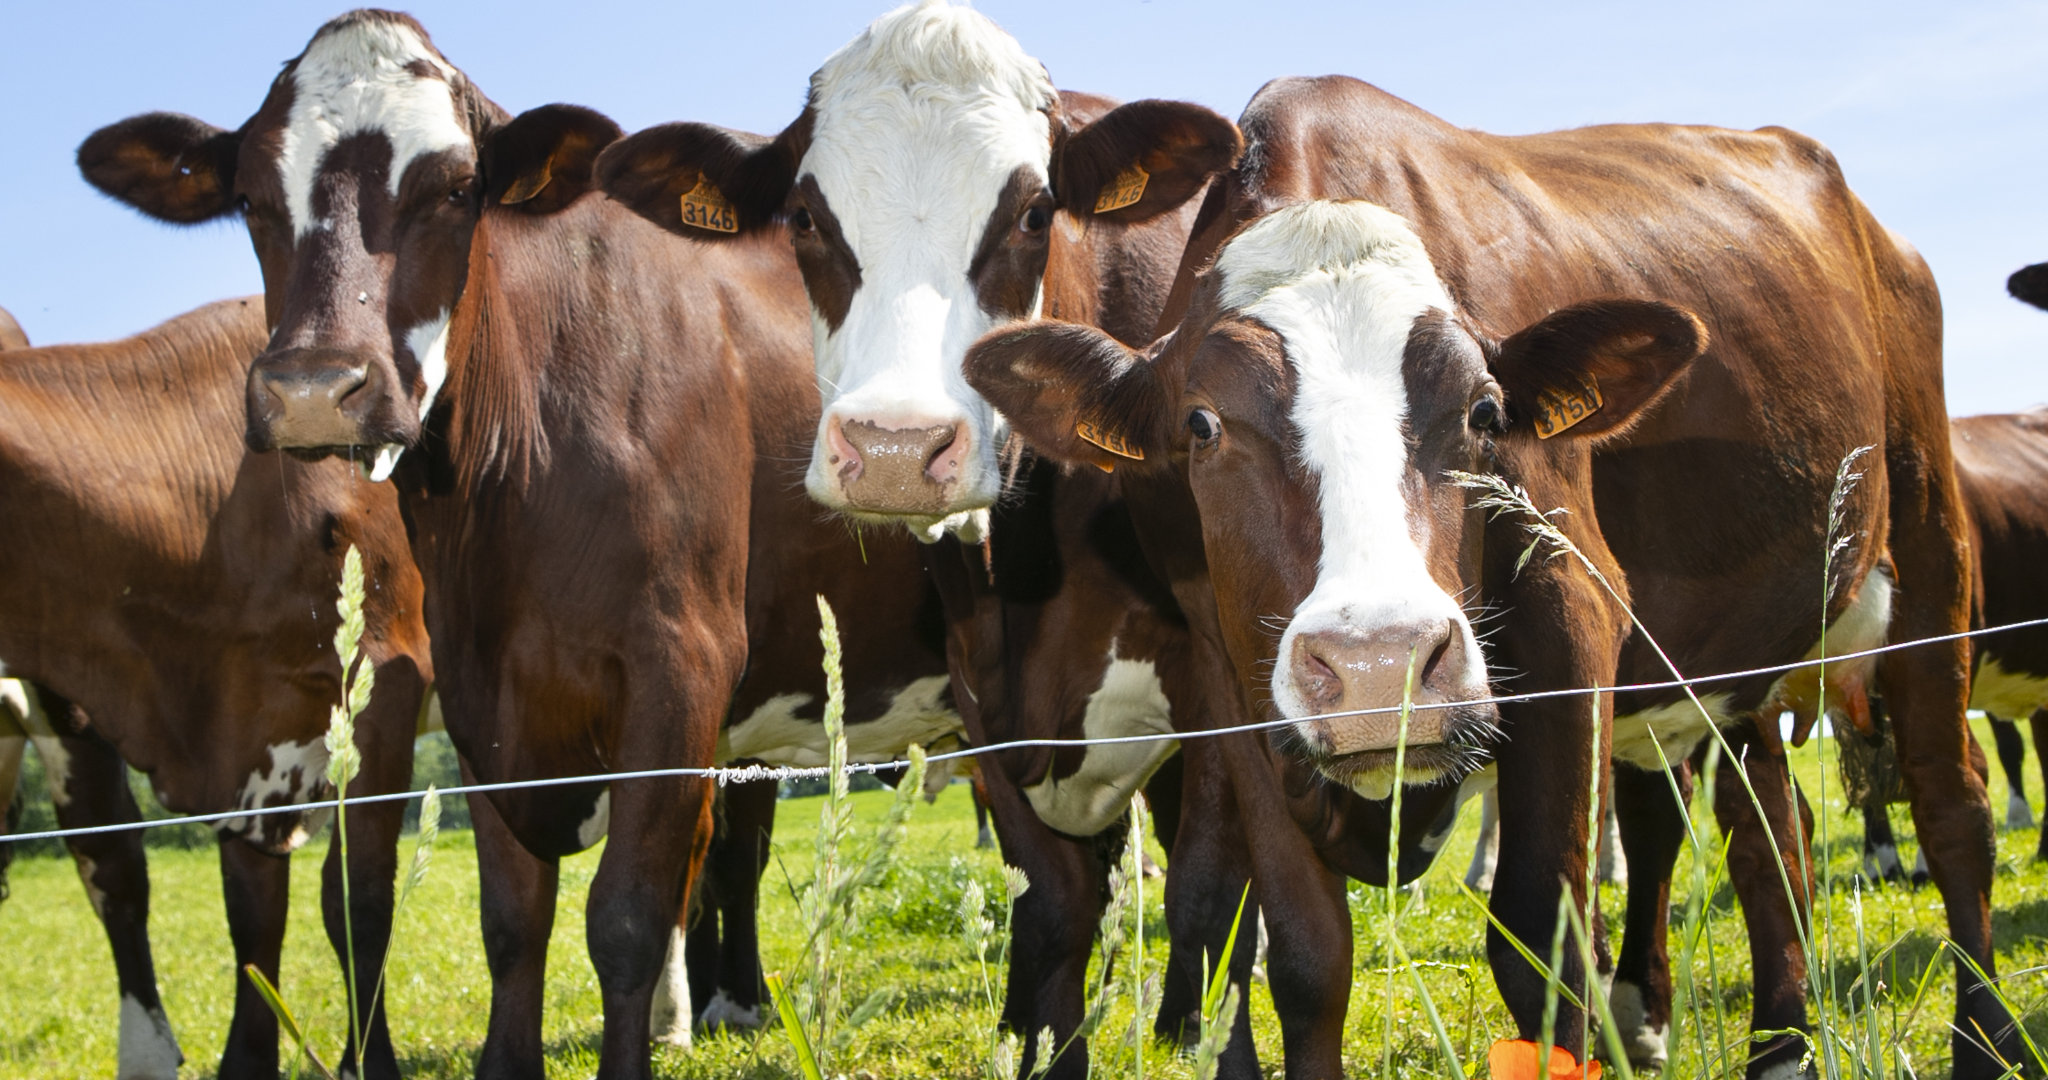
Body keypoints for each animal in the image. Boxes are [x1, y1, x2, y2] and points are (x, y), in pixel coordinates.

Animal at [0, 296, 431, 1079]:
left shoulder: (384, 684)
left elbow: (358, 898)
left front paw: (370, 1062)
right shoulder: (238, 732)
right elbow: (248, 914)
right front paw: (243, 1062)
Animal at [77, 13, 966, 1079]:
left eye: (456, 188)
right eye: (250, 197)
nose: (313, 388)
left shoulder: (682, 665)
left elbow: (625, 916)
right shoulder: (480, 692)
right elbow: (512, 920)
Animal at [593, 4, 1253, 1073]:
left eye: (1035, 212)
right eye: (805, 219)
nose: (896, 448)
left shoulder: (1226, 679)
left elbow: (1211, 892)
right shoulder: (988, 694)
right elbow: (1055, 904)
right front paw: (1042, 1038)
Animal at [963, 75, 2017, 1078]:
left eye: (1484, 410)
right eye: (1201, 424)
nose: (1380, 667)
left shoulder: (1572, 620)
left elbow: (1544, 947)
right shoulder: (1228, 679)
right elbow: (1306, 956)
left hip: (1931, 551)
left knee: (1950, 802)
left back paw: (1984, 1038)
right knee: (1771, 830)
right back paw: (1782, 1049)